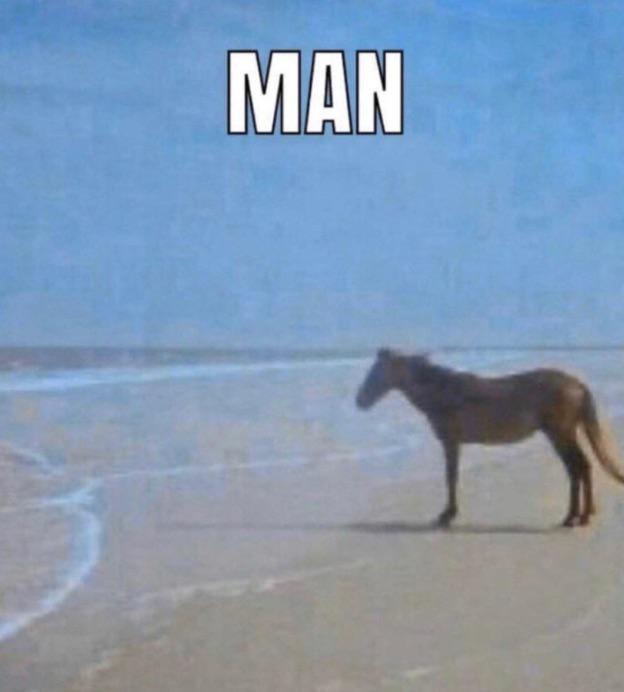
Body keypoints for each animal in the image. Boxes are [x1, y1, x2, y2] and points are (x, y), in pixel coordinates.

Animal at [355, 348, 624, 528]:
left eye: (375, 373)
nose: (360, 401)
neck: (443, 392)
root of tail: (578, 384)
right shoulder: (454, 443)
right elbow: (452, 477)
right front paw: (448, 514)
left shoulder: (451, 442)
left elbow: (450, 478)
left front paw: (447, 515)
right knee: (580, 467)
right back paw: (580, 515)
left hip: (559, 433)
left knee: (577, 467)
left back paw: (574, 517)